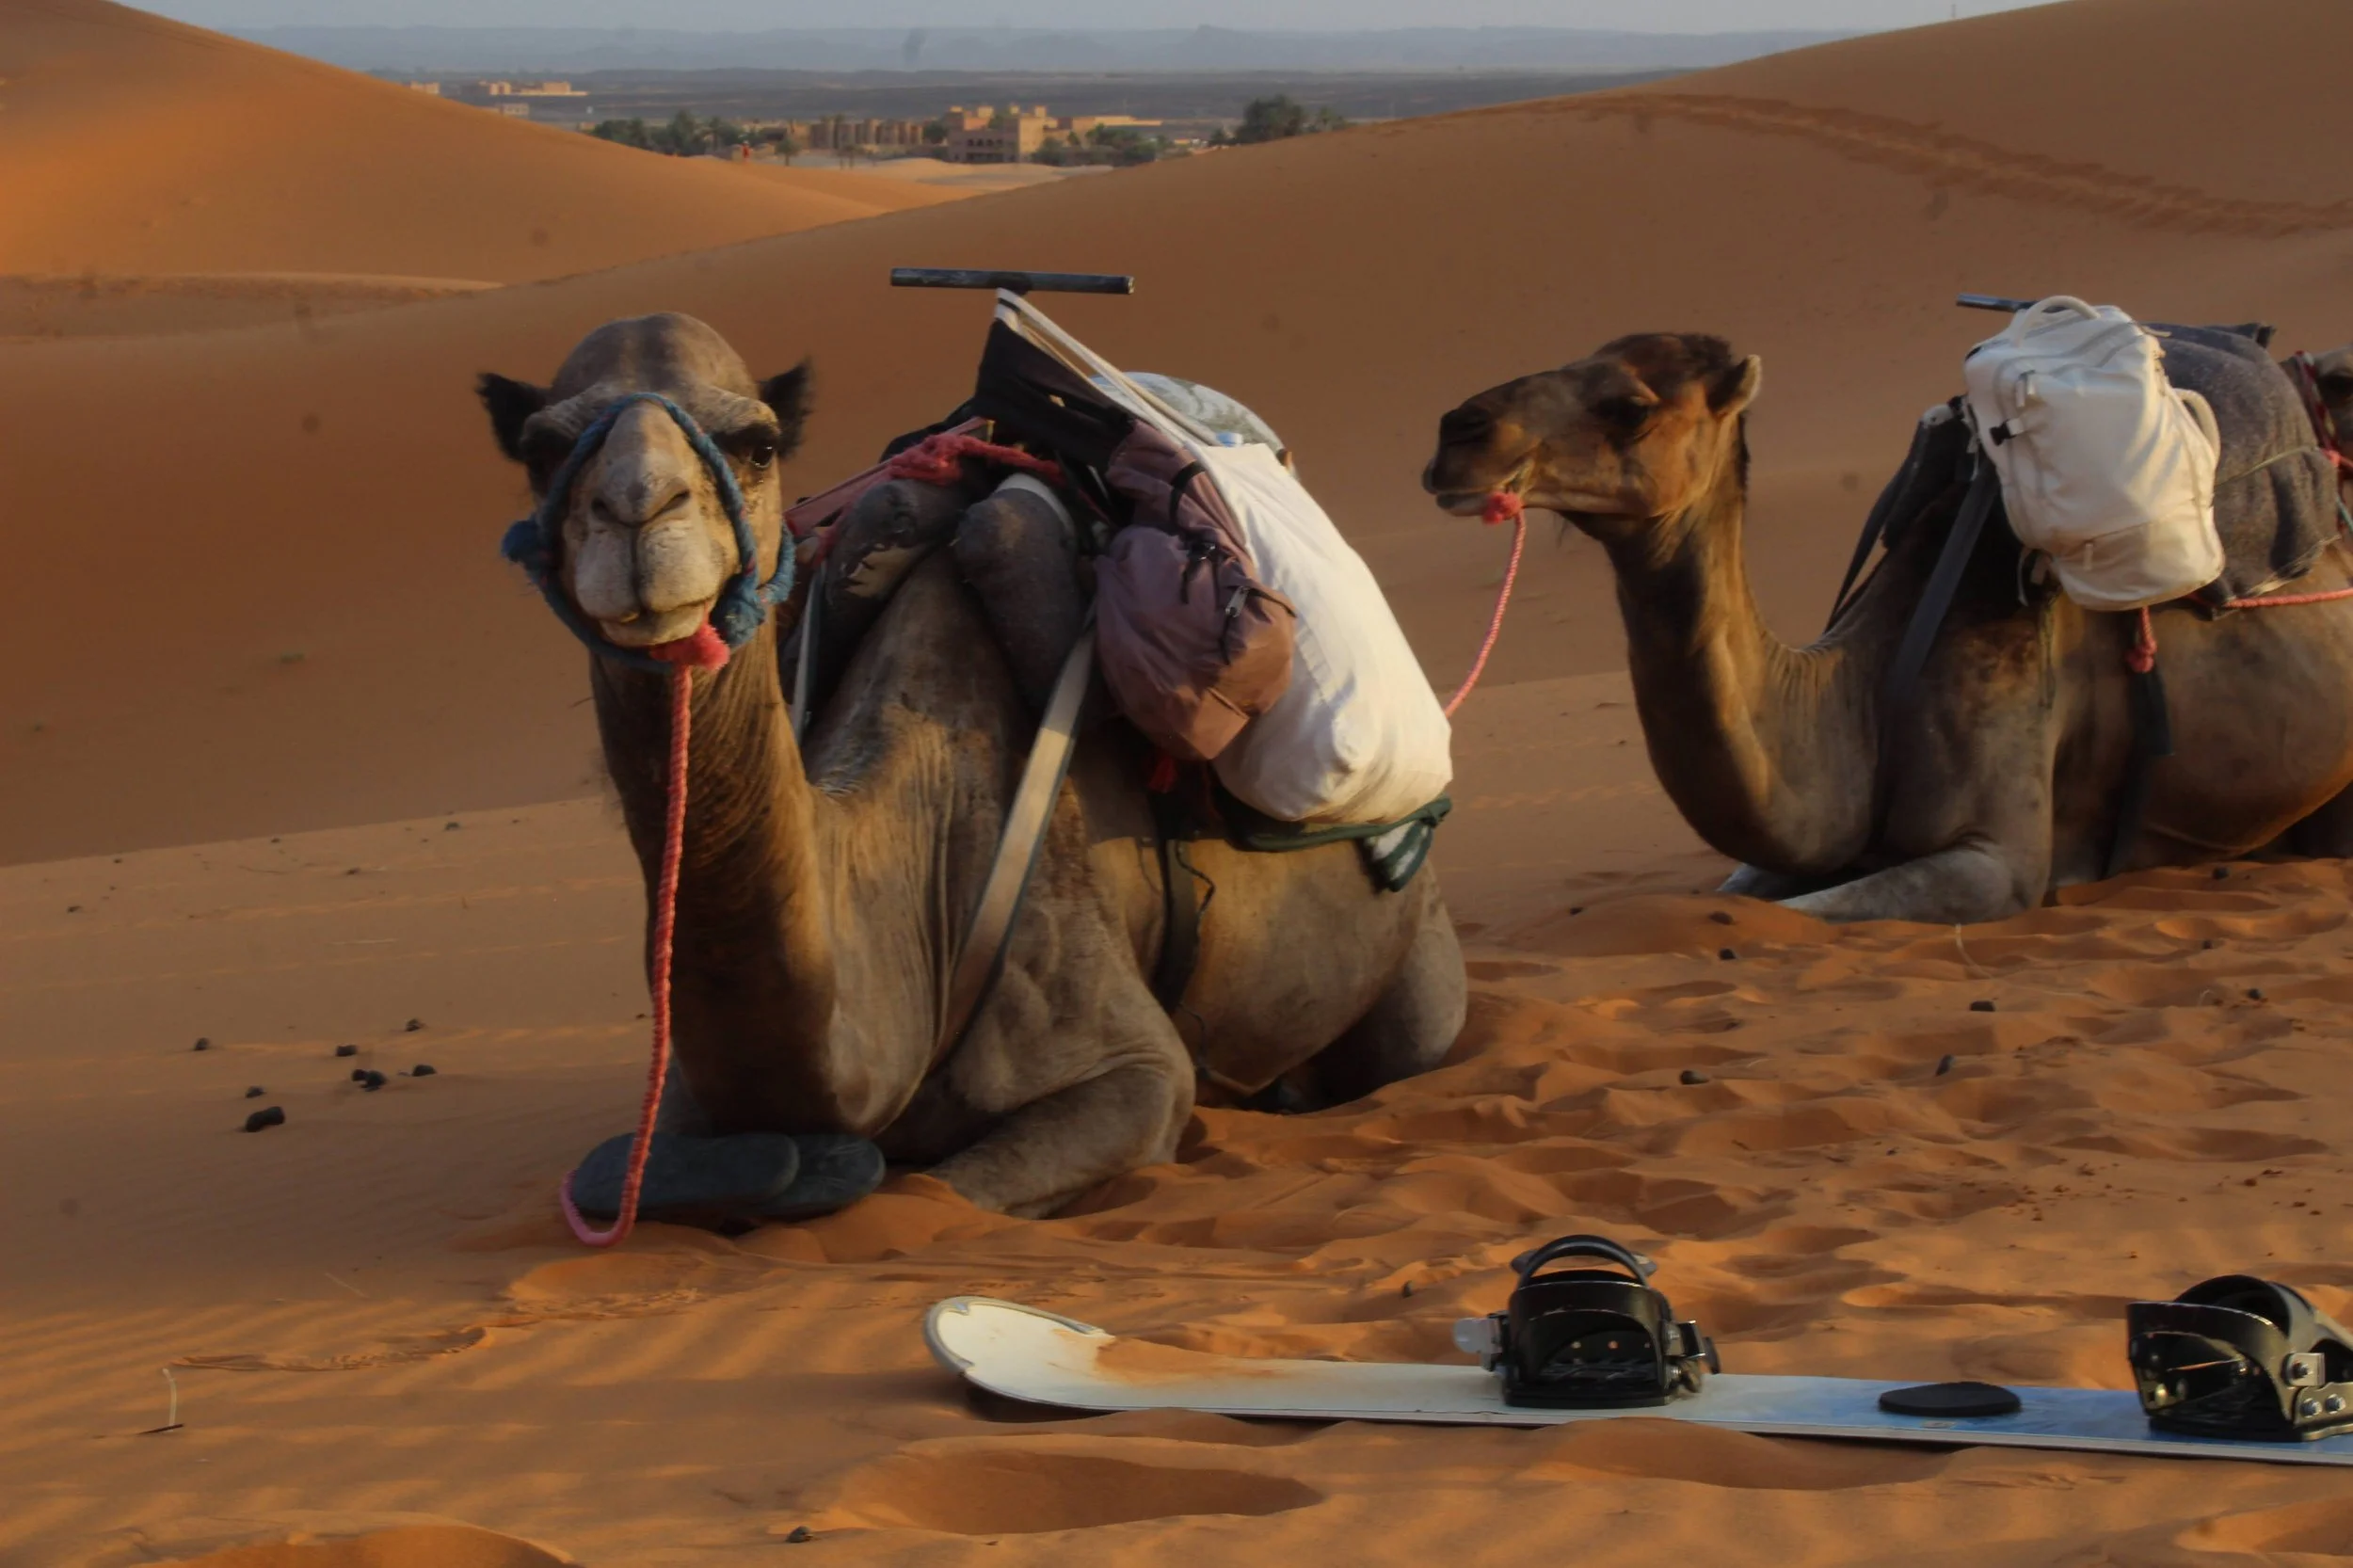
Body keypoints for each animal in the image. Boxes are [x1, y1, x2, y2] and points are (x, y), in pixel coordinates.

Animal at [480, 313, 1465, 1215]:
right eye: (542, 450)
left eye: (756, 445)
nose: (638, 511)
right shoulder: (689, 1108)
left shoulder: (1133, 1066)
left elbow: (940, 1191)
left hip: (1418, 963)